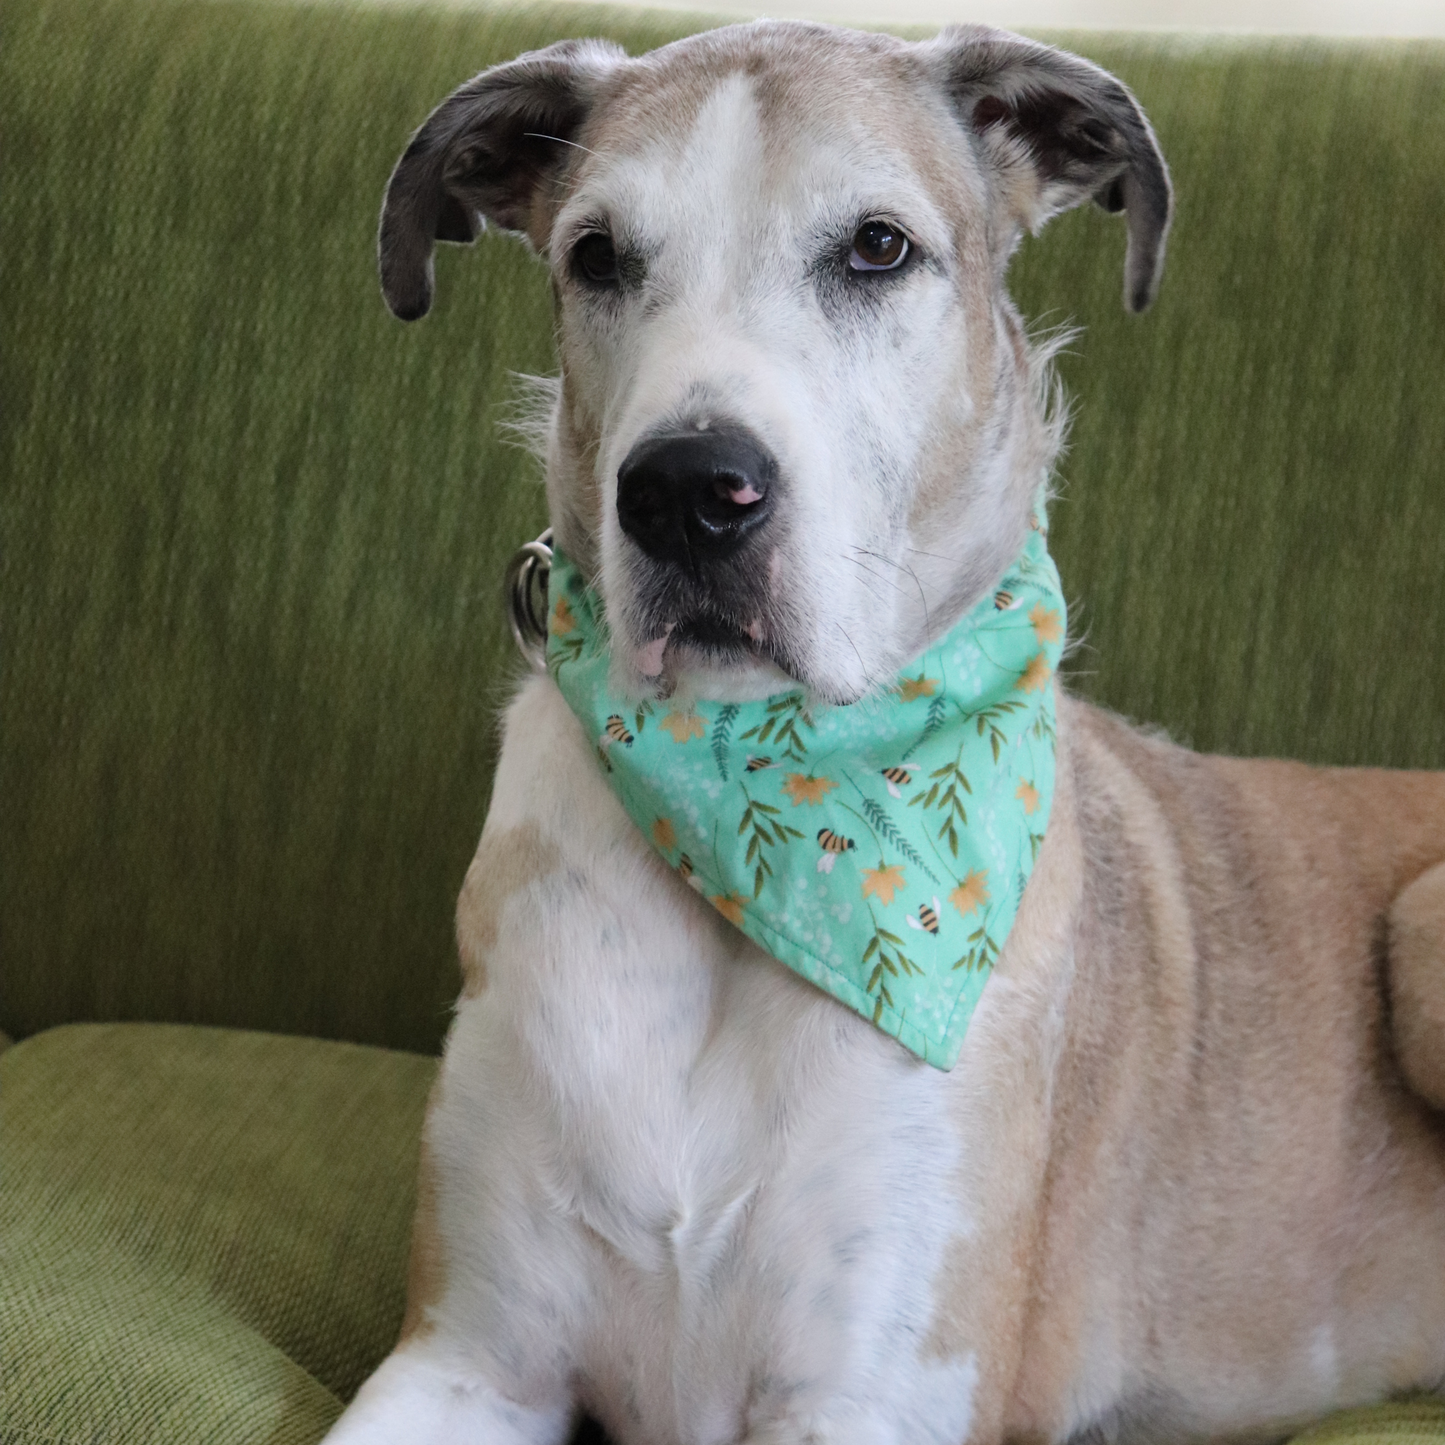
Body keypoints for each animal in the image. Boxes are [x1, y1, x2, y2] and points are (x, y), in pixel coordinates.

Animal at [325, 22, 1445, 1445]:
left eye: (875, 247)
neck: (770, 810)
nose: (687, 493)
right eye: (596, 256)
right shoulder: (468, 1355)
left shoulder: (866, 1392)